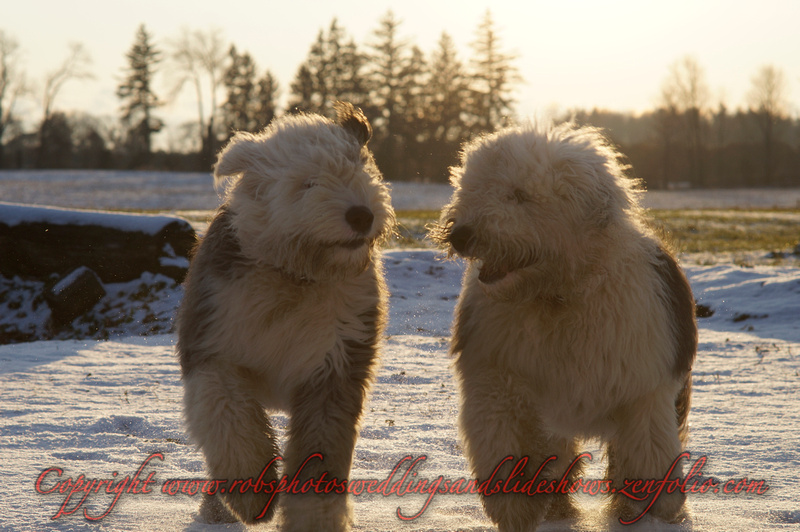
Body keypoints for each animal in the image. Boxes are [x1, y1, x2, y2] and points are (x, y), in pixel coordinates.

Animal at [178, 102, 396, 528]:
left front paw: (316, 520)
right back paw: (217, 510)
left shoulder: (336, 366)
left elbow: (321, 450)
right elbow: (228, 417)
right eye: (308, 183)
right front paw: (251, 492)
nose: (361, 215)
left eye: (361, 170)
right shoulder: (213, 347)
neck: (296, 276)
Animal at [428, 123, 696, 528]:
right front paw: (513, 507)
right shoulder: (496, 373)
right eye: (470, 187)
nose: (461, 234)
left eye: (519, 195)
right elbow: (500, 435)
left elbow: (650, 454)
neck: (557, 297)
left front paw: (657, 512)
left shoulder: (643, 389)